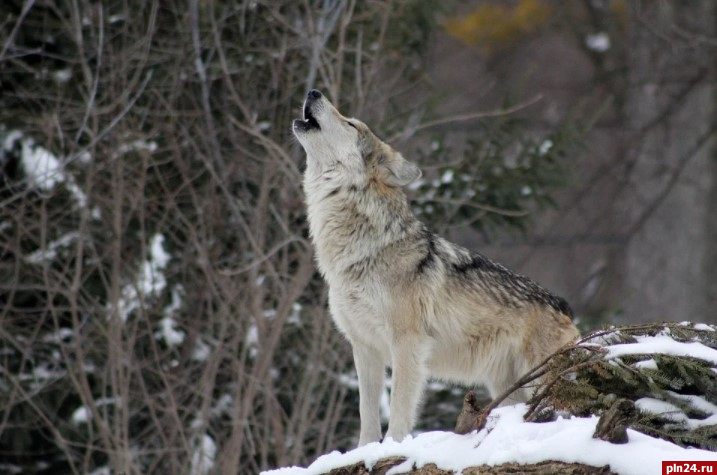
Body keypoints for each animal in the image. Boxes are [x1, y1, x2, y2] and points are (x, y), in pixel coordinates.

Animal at [294, 89, 580, 446]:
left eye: (350, 123)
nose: (313, 91)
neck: (362, 249)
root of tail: (564, 306)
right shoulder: (364, 347)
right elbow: (367, 414)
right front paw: (364, 451)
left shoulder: (408, 343)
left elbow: (399, 407)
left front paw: (393, 447)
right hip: (508, 388)